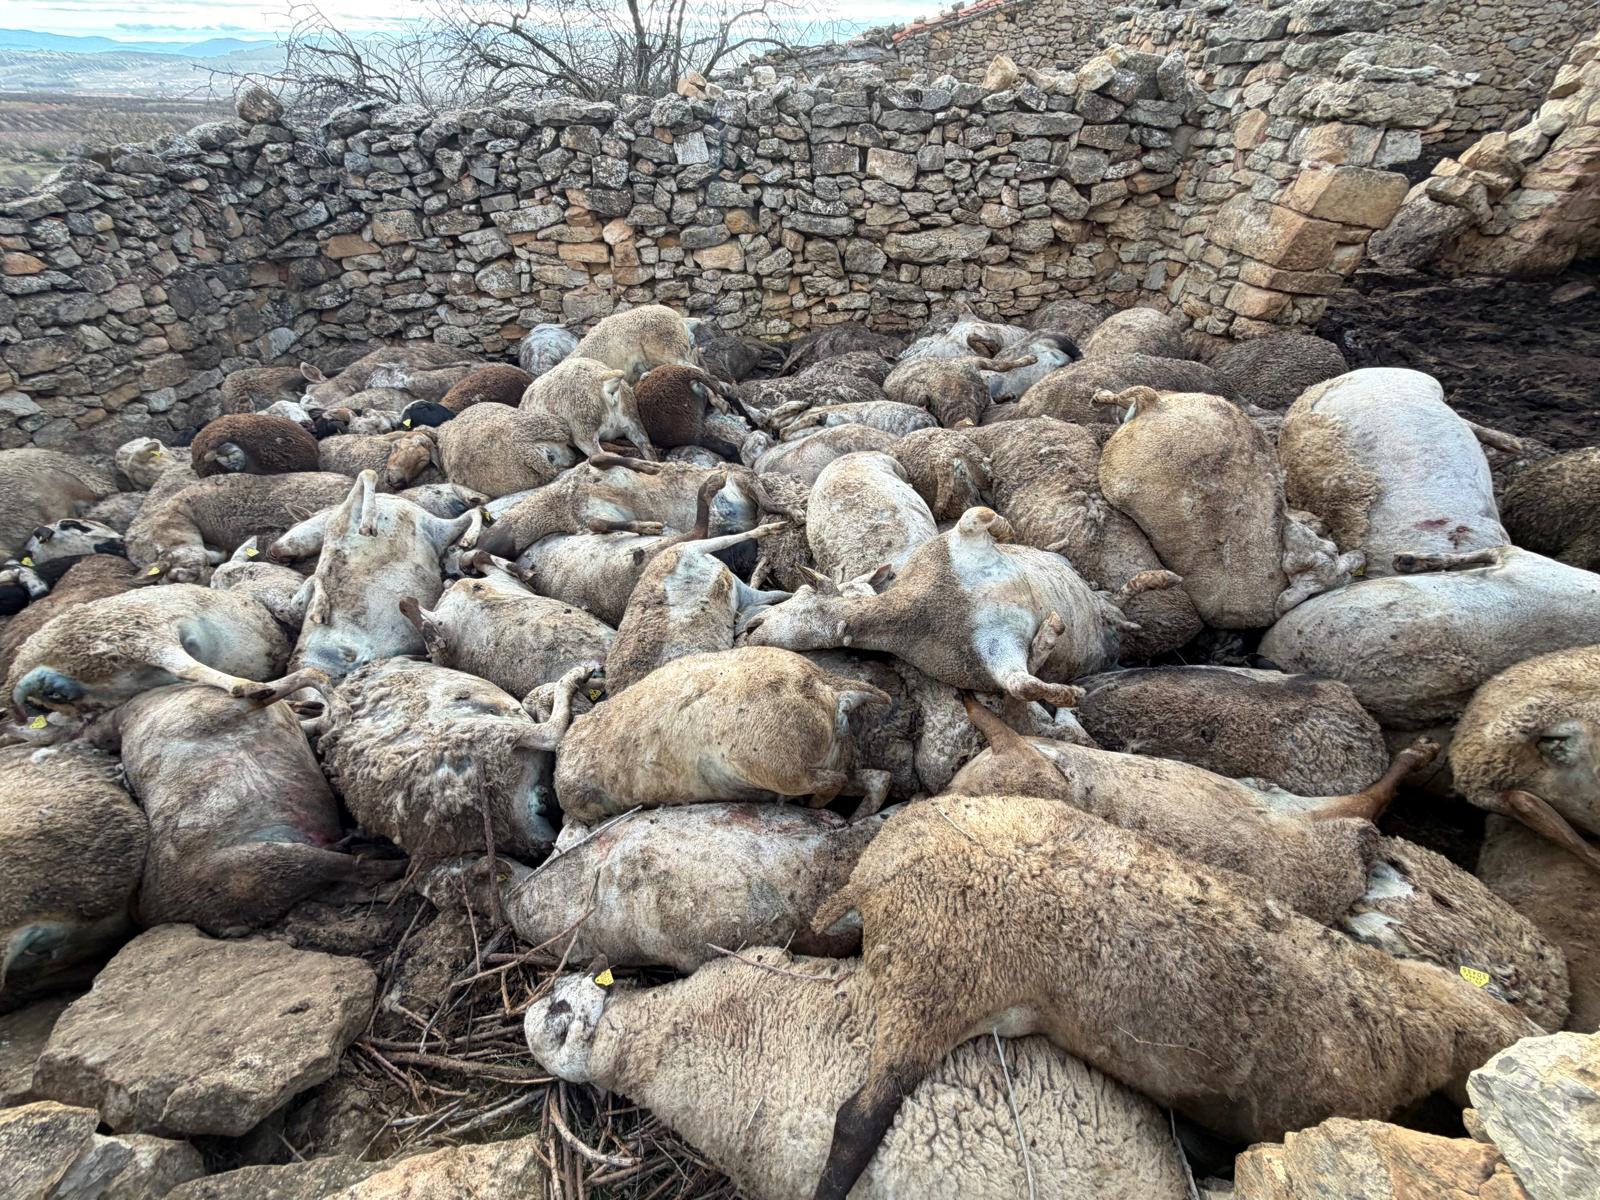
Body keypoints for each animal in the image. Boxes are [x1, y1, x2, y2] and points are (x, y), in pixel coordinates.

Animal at [269, 471, 478, 678]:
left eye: (293, 524)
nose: (273, 553)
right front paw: (368, 523)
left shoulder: (436, 529)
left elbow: (473, 512)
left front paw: (469, 539)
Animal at [553, 647, 892, 823]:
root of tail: (829, 688)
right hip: (831, 756)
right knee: (875, 778)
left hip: (772, 764)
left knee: (832, 782)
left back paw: (811, 805)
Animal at [744, 507, 1178, 706]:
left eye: (803, 591)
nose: (749, 627)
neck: (922, 608)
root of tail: (1111, 624)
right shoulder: (990, 657)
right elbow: (1022, 683)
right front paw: (1062, 675)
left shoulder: (959, 543)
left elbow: (977, 515)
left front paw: (1008, 531)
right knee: (1115, 606)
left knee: (1110, 596)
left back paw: (1161, 581)